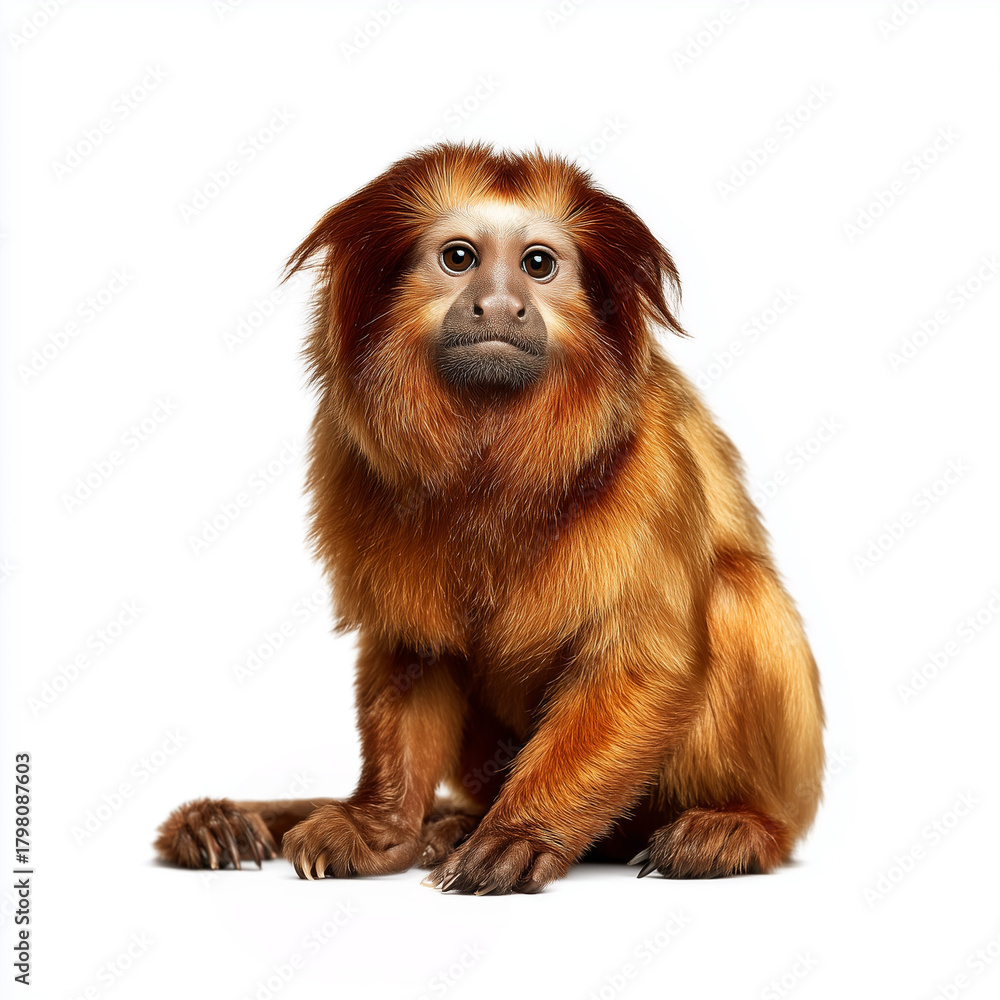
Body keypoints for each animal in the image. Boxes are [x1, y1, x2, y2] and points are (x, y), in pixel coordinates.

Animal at [155, 143, 824, 894]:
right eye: (459, 257)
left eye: (537, 264)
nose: (500, 304)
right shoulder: (352, 459)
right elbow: (415, 652)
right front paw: (380, 828)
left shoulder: (651, 457)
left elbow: (644, 661)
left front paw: (520, 834)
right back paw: (450, 823)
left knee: (737, 590)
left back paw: (732, 826)